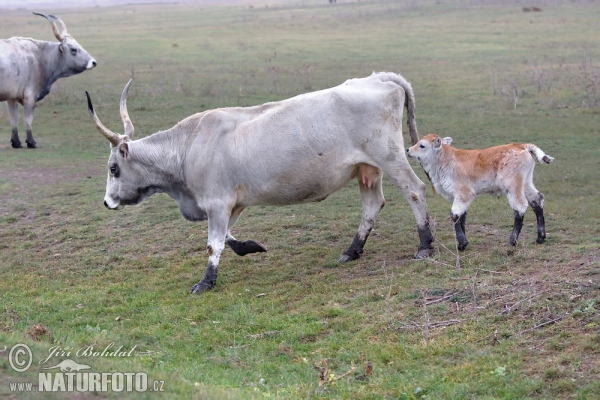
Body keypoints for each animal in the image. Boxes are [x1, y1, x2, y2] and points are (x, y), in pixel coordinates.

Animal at [0, 13, 96, 150]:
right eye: (73, 49)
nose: (93, 62)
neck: (38, 56)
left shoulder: (11, 98)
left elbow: (14, 119)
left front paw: (16, 142)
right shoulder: (31, 96)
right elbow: (28, 119)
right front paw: (31, 142)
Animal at [86, 74, 434, 294]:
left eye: (114, 168)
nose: (107, 201)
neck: (188, 146)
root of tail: (378, 79)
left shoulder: (216, 203)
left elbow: (214, 243)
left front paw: (206, 282)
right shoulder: (232, 203)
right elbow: (228, 237)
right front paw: (251, 247)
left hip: (389, 158)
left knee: (415, 191)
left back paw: (425, 245)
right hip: (367, 169)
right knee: (372, 206)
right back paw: (352, 250)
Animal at [408, 134, 552, 250]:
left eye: (422, 145)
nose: (408, 150)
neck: (445, 160)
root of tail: (521, 145)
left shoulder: (464, 193)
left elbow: (455, 215)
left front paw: (463, 244)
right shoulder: (459, 197)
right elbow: (462, 216)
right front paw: (461, 244)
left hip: (512, 185)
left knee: (520, 207)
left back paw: (512, 242)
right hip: (526, 183)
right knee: (537, 200)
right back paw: (540, 238)